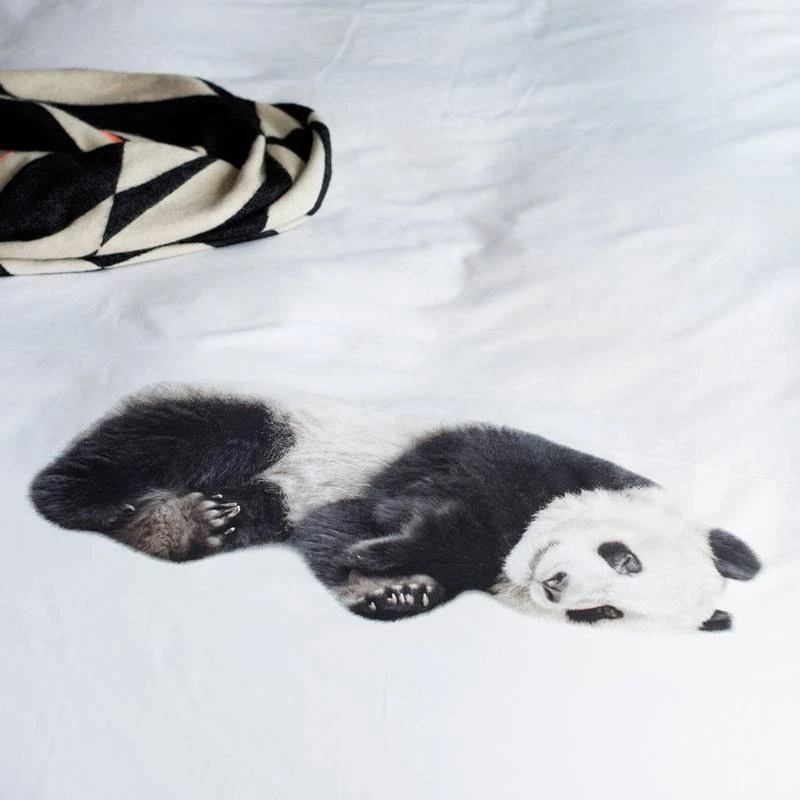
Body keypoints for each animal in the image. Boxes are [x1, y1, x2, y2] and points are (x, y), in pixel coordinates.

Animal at [28, 386, 762, 633]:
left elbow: (331, 536)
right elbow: (405, 513)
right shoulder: (498, 459)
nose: (555, 586)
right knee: (174, 439)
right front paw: (390, 560)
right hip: (281, 427)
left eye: (603, 613)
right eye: (623, 557)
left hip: (270, 493)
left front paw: (396, 592)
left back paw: (190, 526)